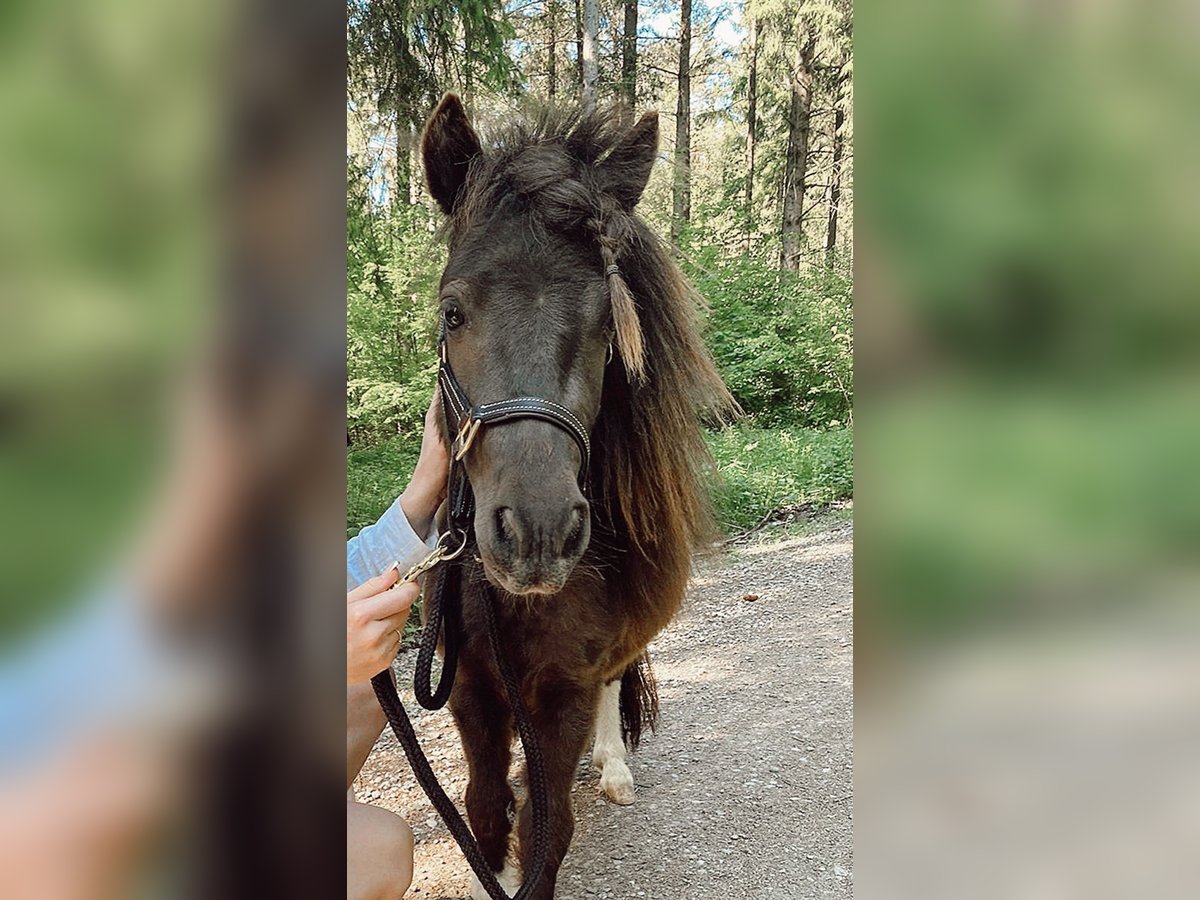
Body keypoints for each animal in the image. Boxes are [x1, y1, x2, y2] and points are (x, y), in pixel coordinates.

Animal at [422, 95, 739, 897]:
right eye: (452, 313)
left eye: (607, 324)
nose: (536, 533)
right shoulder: (468, 683)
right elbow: (485, 807)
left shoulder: (563, 690)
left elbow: (549, 826)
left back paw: (614, 768)